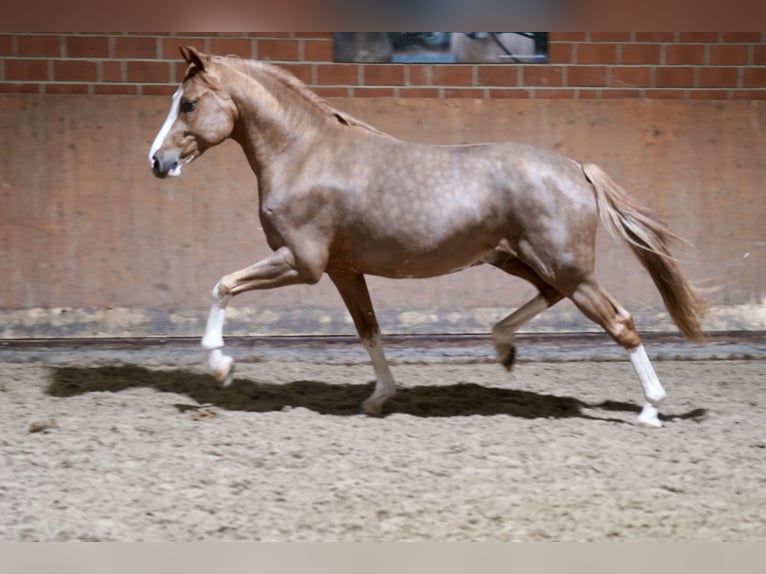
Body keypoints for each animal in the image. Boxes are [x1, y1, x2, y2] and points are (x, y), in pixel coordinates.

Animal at [150, 48, 708, 428]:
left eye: (190, 104)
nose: (157, 161)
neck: (304, 154)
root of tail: (578, 168)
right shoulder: (343, 271)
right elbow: (369, 331)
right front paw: (379, 398)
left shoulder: (303, 264)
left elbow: (223, 285)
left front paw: (221, 366)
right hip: (520, 259)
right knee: (548, 296)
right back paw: (503, 348)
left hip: (568, 267)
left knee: (621, 322)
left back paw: (650, 410)